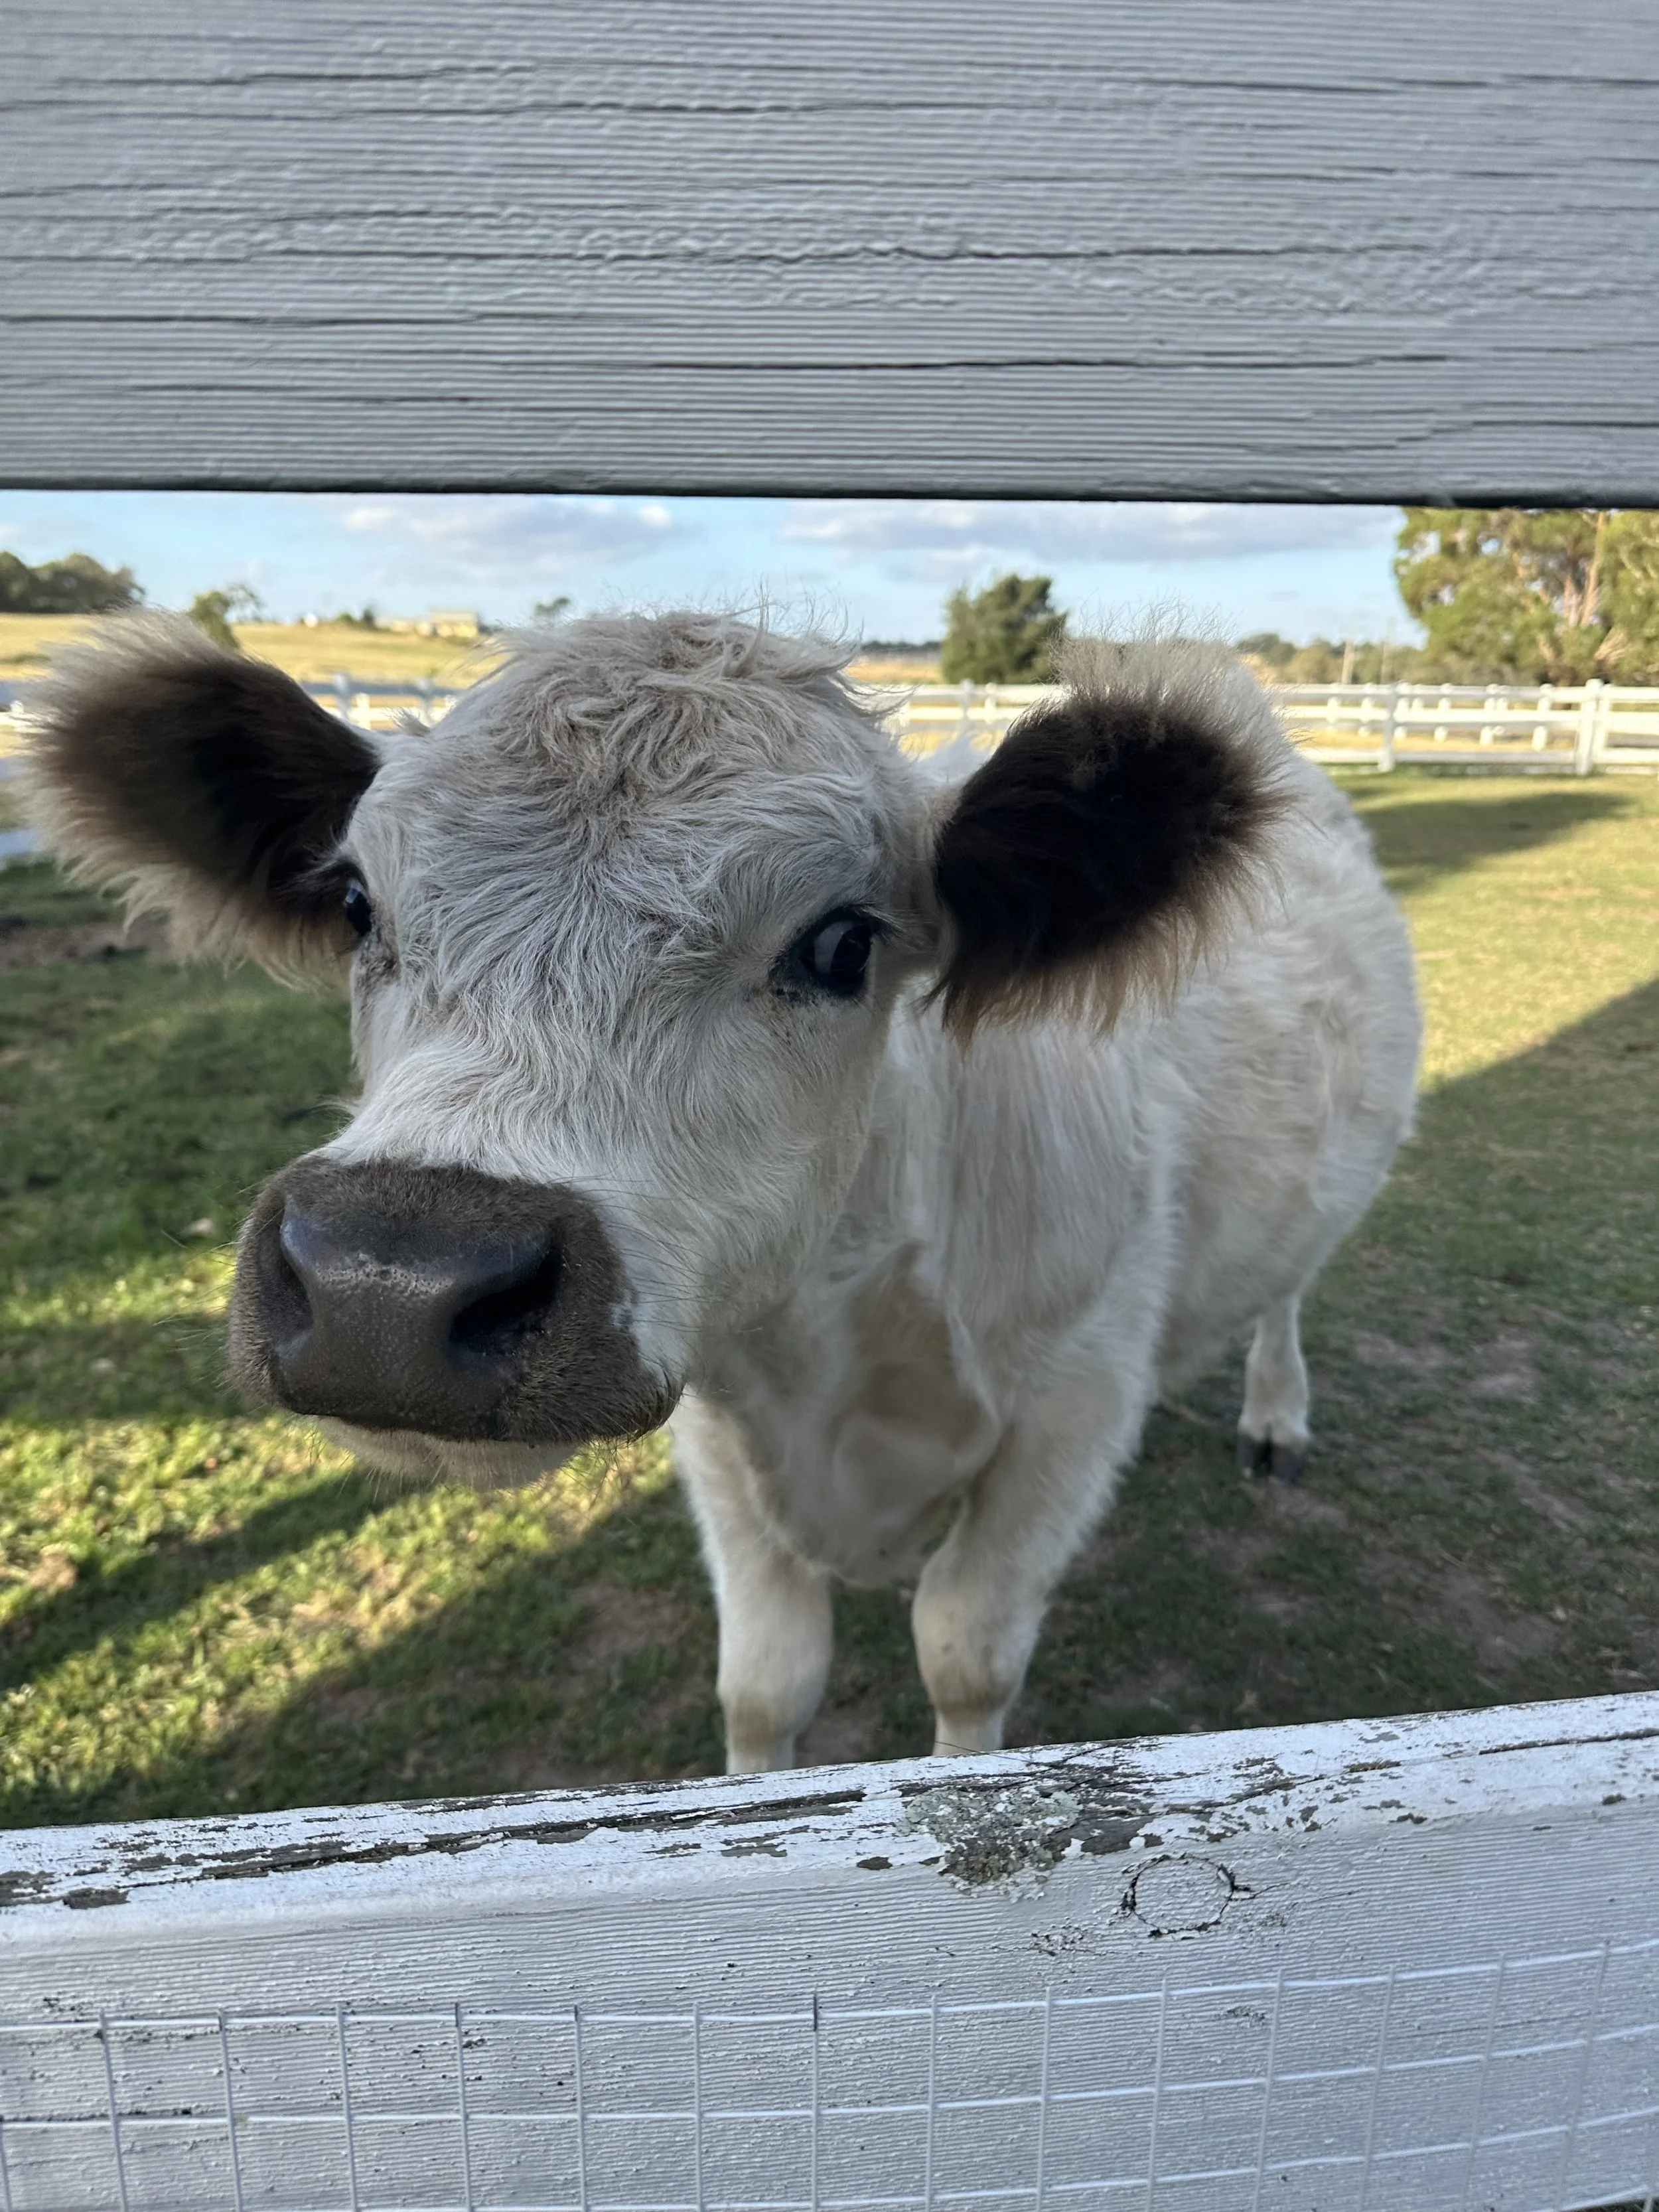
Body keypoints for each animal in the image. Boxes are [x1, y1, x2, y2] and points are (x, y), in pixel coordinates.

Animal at [26, 612, 1419, 1772]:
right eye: (360, 905)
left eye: (843, 942)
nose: (391, 1284)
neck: (846, 1316)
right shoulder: (716, 1417)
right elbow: (765, 1681)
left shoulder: (1074, 1405)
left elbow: (966, 1660)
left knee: (1289, 1289)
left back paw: (1276, 1414)